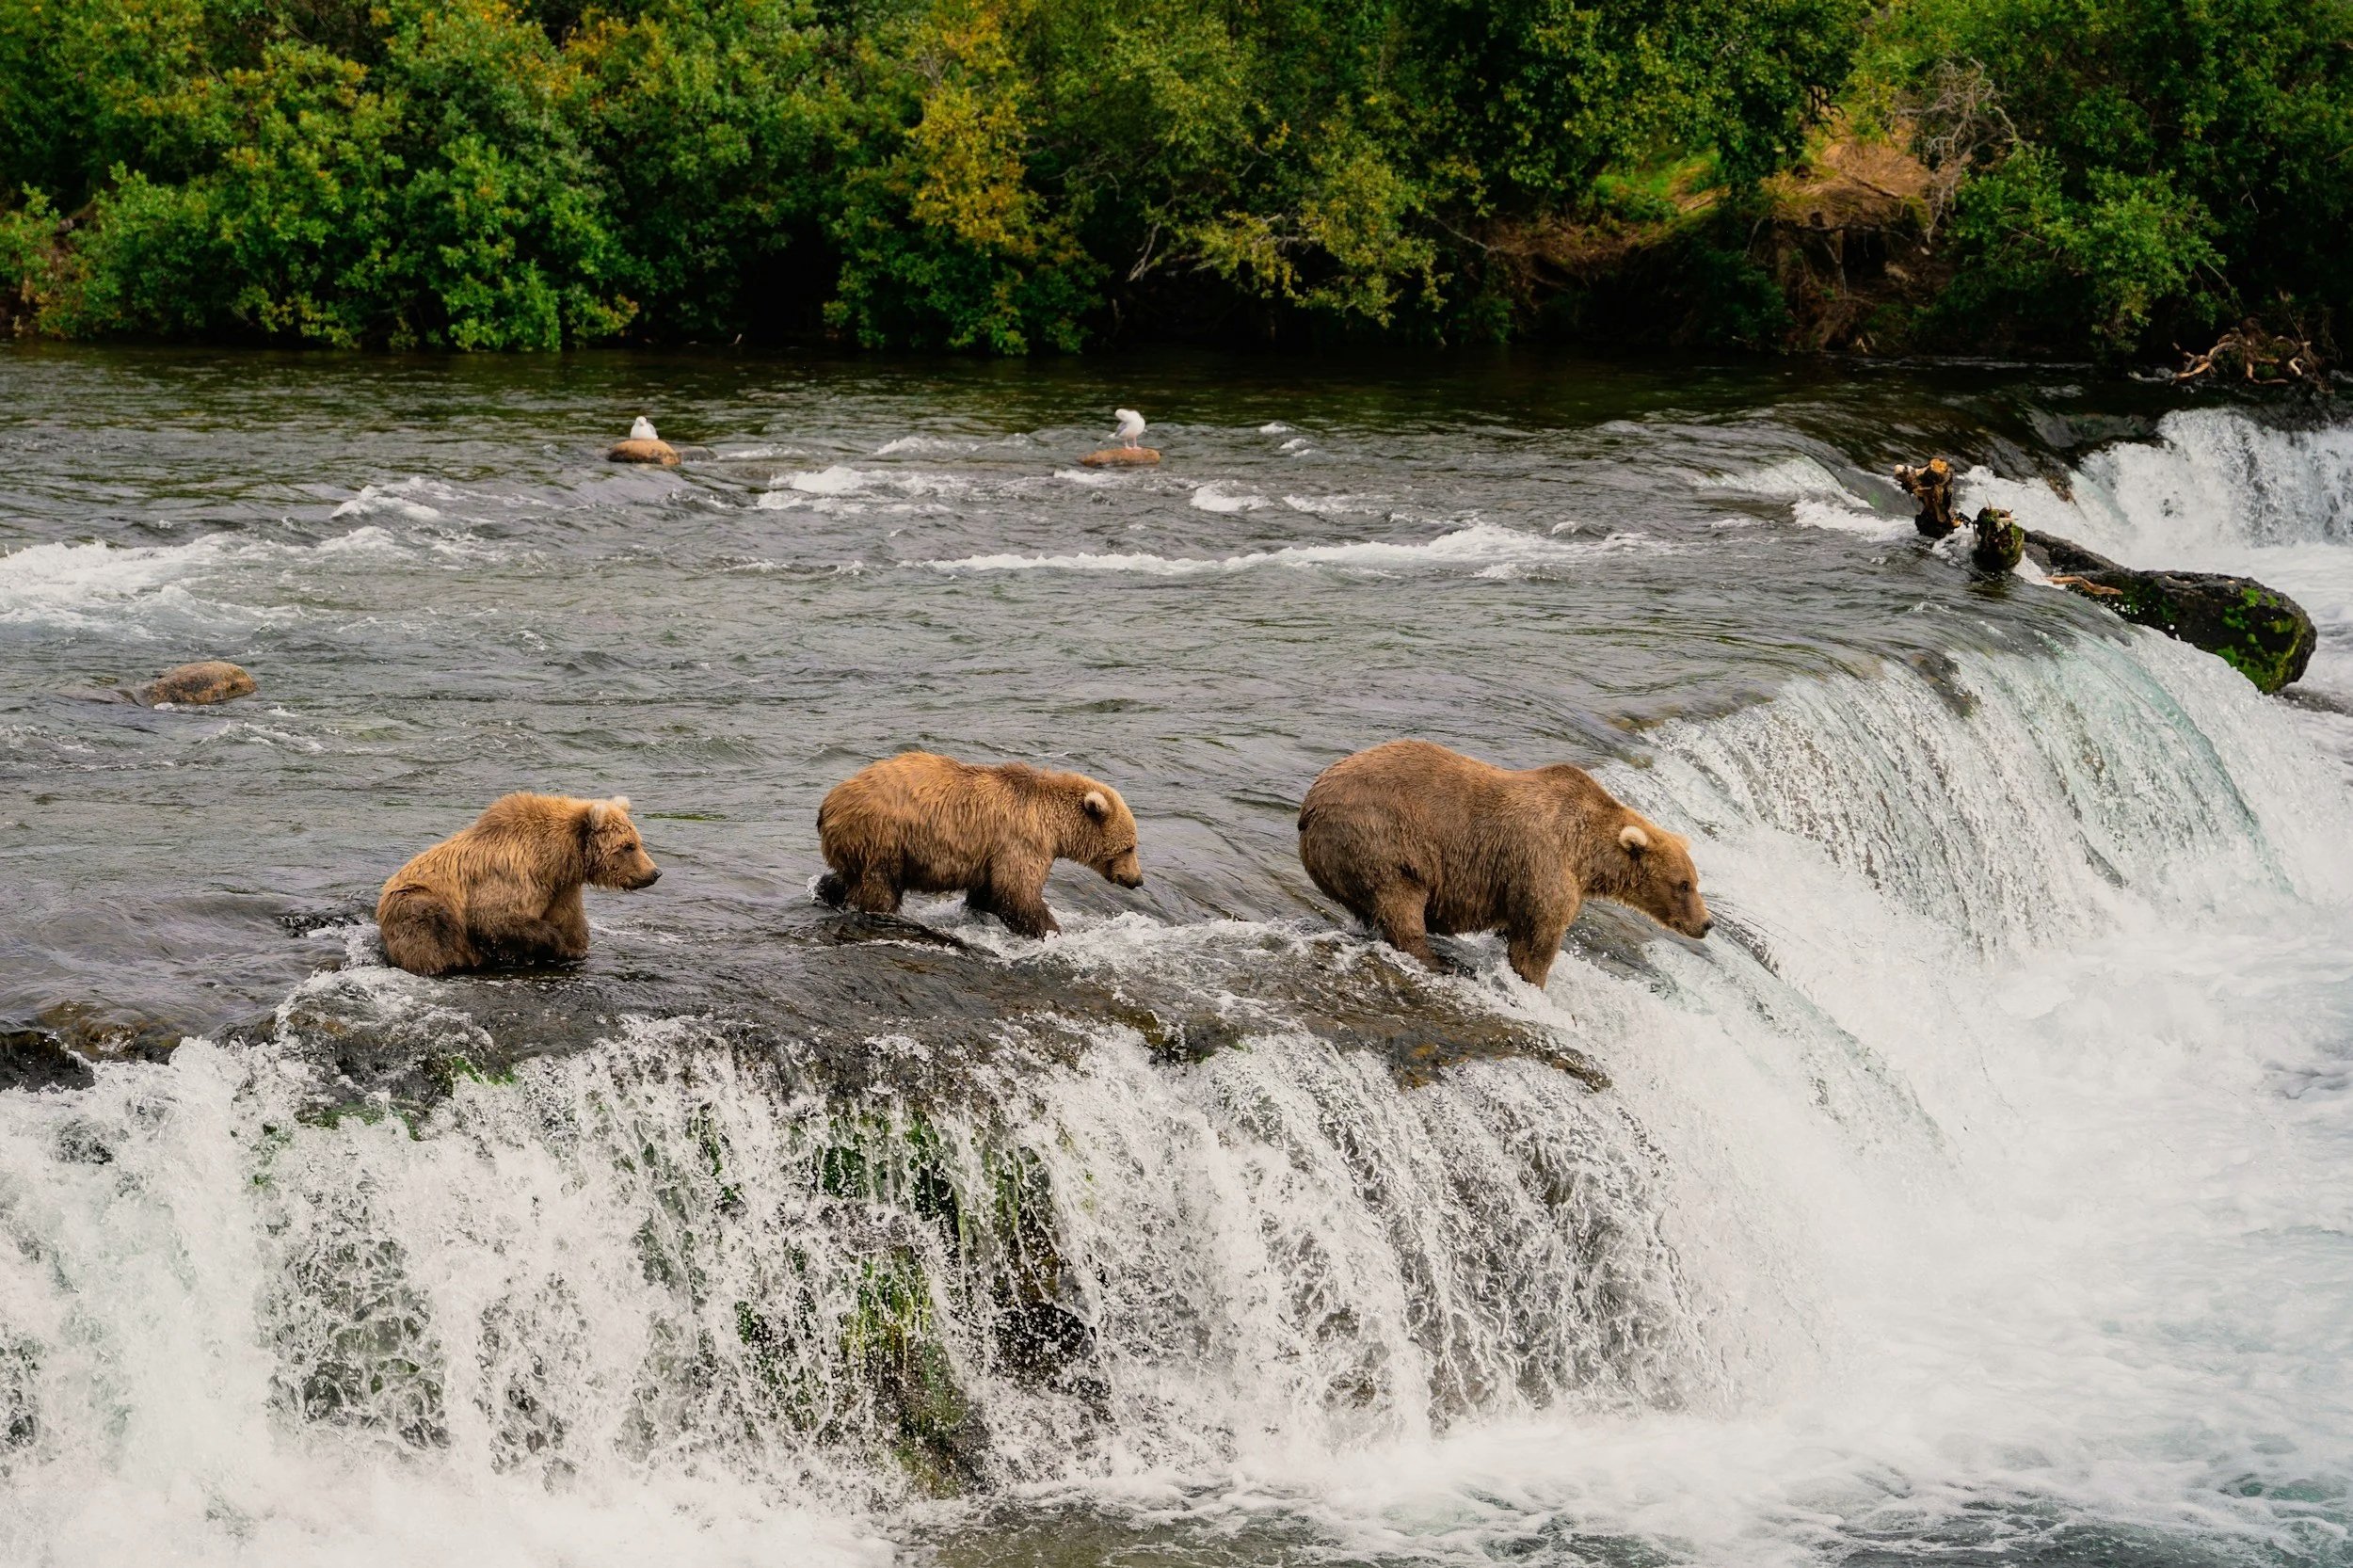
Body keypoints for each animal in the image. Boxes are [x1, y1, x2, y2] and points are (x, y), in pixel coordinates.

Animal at [376, 793, 661, 976]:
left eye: (638, 841)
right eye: (628, 846)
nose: (655, 872)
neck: (555, 858)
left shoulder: (561, 887)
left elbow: (572, 924)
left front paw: (571, 949)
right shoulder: (513, 874)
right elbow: (493, 916)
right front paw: (552, 942)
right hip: (416, 901)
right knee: (429, 928)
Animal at [814, 752, 1143, 938]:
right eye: (1129, 847)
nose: (1137, 880)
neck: (1054, 824)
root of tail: (829, 803)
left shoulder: (992, 854)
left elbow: (989, 893)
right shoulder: (1022, 842)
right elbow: (1017, 892)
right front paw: (1051, 931)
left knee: (848, 877)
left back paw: (827, 891)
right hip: (883, 837)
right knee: (879, 886)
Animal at [1296, 739, 1710, 988]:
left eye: (1694, 881)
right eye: (1683, 884)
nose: (1706, 924)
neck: (1588, 856)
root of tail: (1309, 806)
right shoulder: (1543, 863)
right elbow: (1537, 939)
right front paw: (1535, 983)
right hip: (1381, 839)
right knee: (1400, 900)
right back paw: (1437, 961)